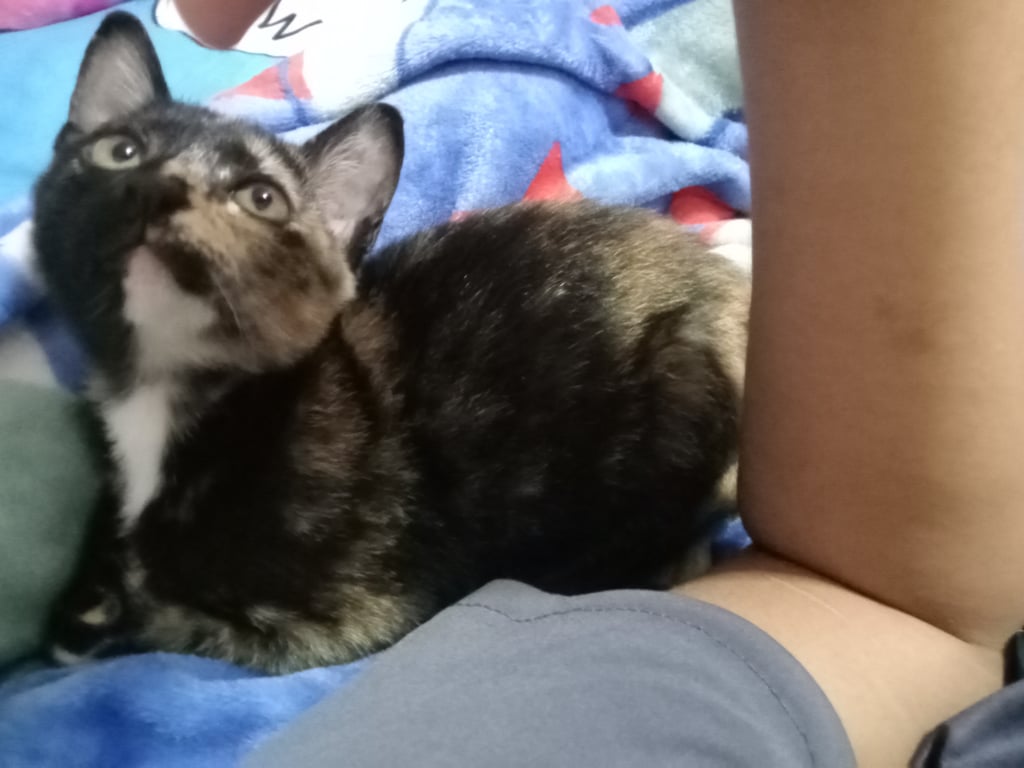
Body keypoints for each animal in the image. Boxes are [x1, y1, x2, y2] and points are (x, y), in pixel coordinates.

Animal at [34, 12, 750, 673]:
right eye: (120, 152)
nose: (158, 186)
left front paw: (98, 613)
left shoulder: (348, 615)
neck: (164, 399)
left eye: (261, 198)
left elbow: (170, 618)